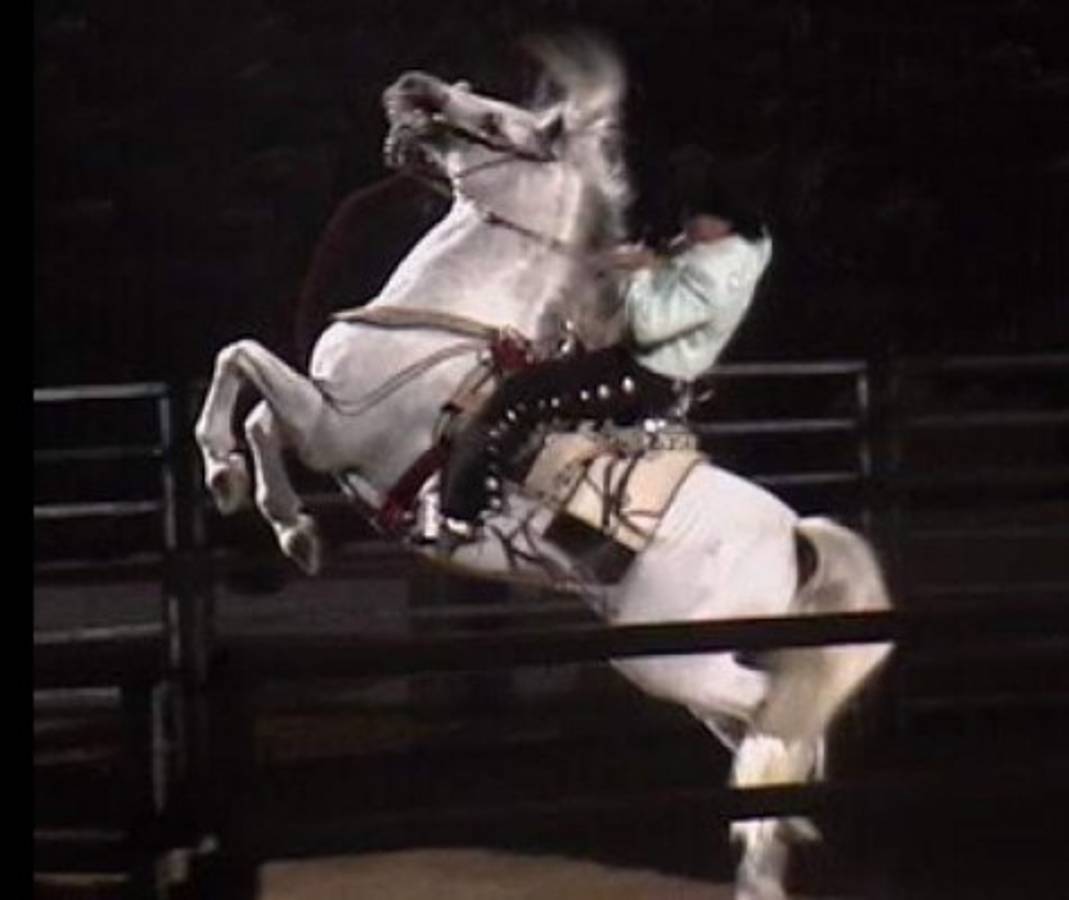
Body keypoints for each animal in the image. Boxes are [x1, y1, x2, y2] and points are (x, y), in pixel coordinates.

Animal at [194, 36, 893, 900]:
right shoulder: (321, 418)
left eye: (496, 120)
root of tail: (796, 534)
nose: (415, 86)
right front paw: (290, 528)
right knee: (771, 741)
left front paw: (229, 479)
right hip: (695, 670)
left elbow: (240, 364)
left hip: (677, 661)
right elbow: (259, 412)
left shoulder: (333, 425)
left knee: (774, 722)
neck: (444, 320)